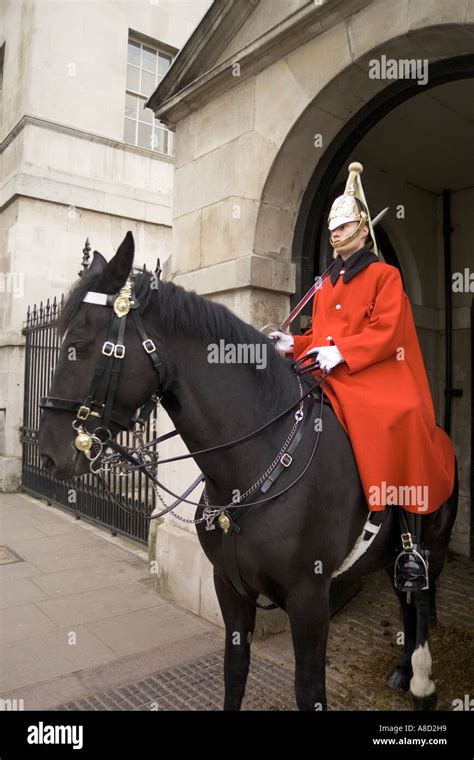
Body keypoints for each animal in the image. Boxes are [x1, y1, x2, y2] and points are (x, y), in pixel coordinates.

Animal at [39, 233, 458, 712]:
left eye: (81, 343)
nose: (47, 454)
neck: (252, 463)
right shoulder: (229, 586)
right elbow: (234, 672)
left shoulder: (310, 598)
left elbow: (309, 691)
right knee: (406, 601)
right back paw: (405, 669)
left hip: (433, 547)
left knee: (419, 601)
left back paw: (421, 679)